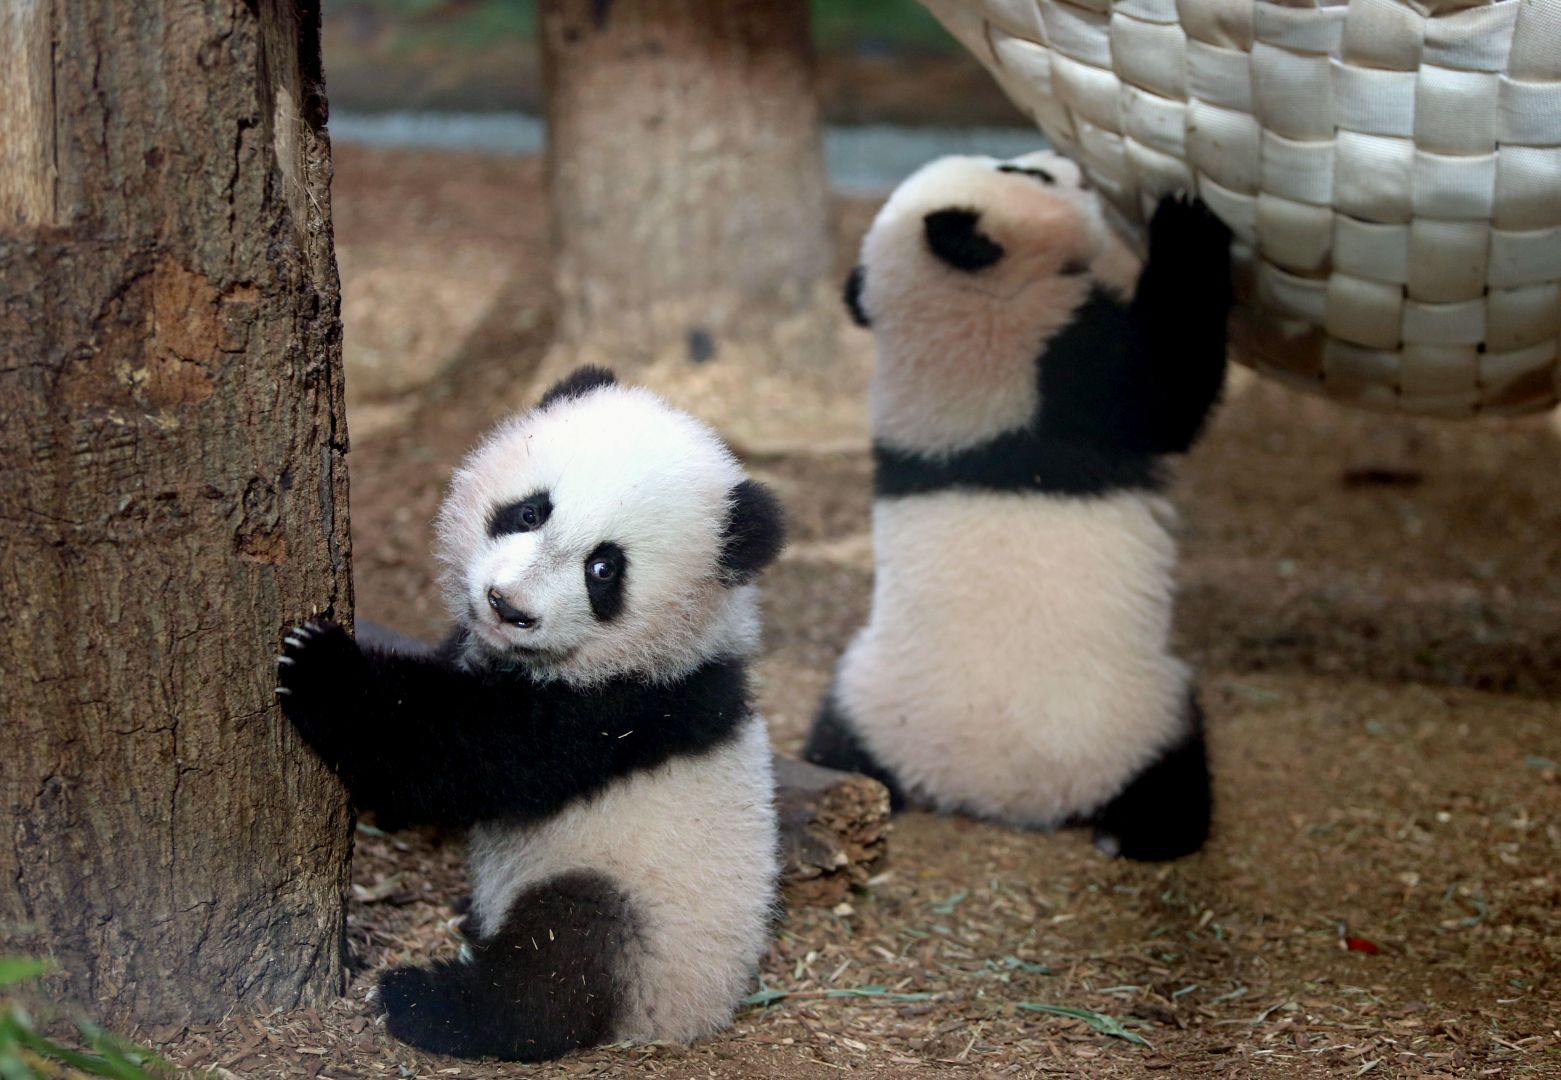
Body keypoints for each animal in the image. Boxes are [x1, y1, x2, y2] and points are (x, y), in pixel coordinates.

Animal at [275, 367, 786, 1061]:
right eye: (529, 511)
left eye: (604, 567)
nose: (506, 605)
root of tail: (692, 1019)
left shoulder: (625, 707)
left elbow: (469, 755)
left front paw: (321, 669)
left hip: (644, 909)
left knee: (558, 961)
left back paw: (427, 1002)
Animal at [804, 152, 1233, 862]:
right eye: (1018, 171)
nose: (1066, 163)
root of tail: (1003, 797)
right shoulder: (1060, 363)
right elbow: (1167, 390)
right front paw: (1186, 219)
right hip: (1138, 708)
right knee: (1176, 757)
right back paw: (1145, 830)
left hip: (865, 691)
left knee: (835, 740)